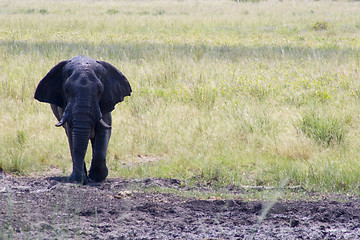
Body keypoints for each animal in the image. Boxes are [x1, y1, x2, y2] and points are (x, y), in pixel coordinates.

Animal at [34, 55, 131, 184]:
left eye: (100, 91)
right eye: (66, 90)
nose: (80, 180)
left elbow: (104, 130)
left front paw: (97, 176)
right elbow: (72, 134)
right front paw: (79, 178)